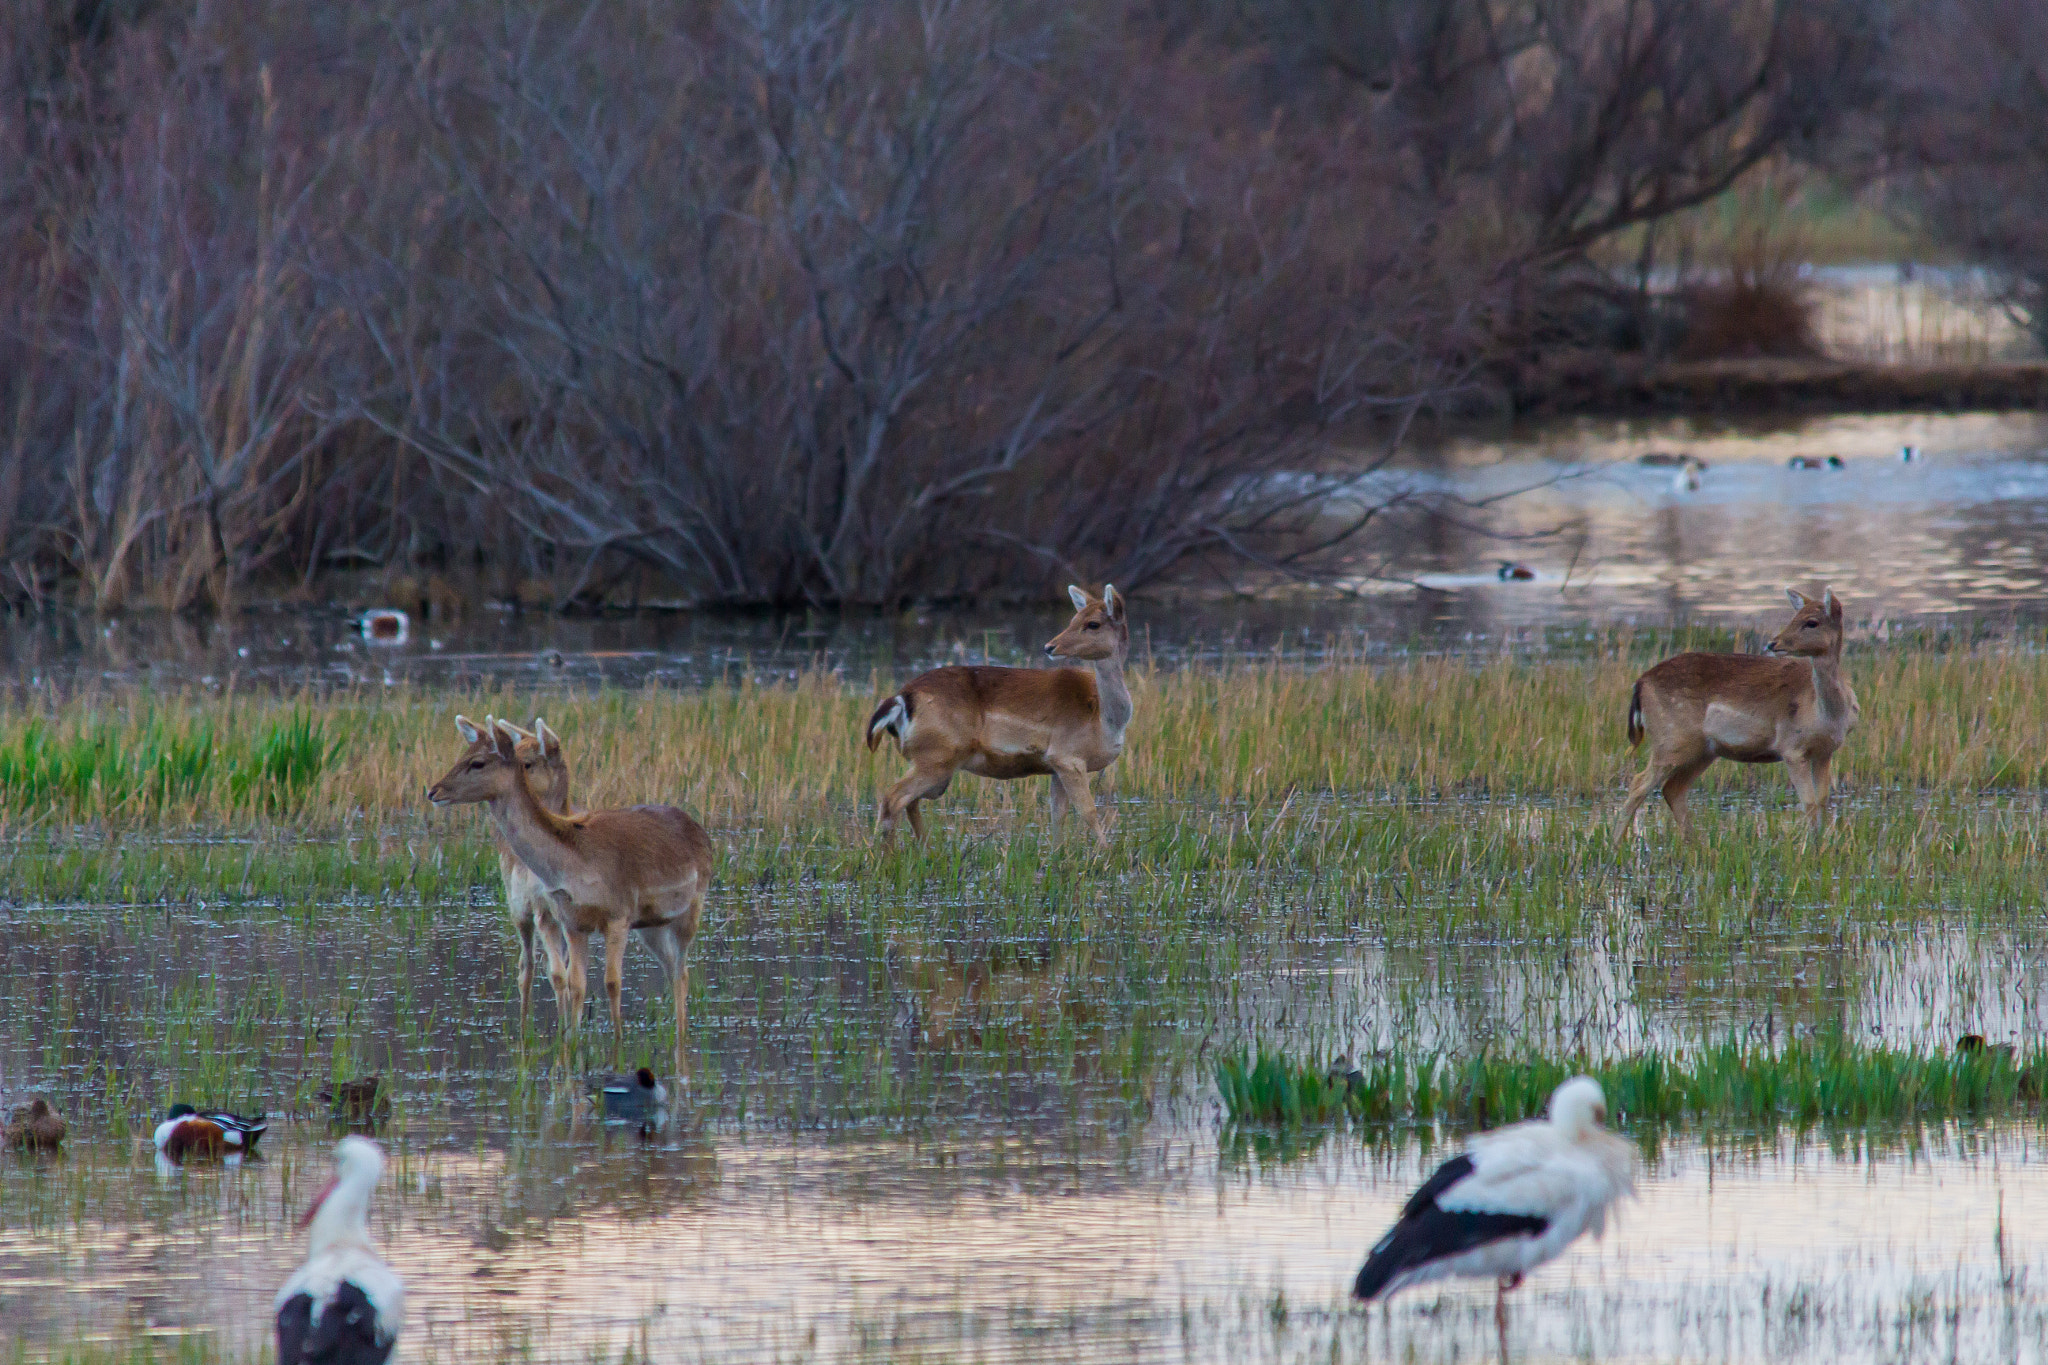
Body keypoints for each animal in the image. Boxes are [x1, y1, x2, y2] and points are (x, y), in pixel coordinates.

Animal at [427, 716, 714, 1080]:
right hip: (651, 926)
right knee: (672, 967)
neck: (572, 866)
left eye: (477, 762)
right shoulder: (571, 921)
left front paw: (618, 1045)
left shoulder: (618, 914)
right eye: (462, 753)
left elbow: (612, 982)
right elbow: (574, 982)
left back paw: (682, 1040)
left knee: (681, 972)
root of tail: (701, 832)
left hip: (691, 908)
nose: (433, 791)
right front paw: (571, 1044)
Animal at [865, 584, 1131, 845]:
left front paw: (1058, 854)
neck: (1104, 720)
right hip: (936, 757)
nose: (1049, 646)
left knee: (910, 802)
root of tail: (901, 699)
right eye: (1074, 619)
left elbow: (1058, 817)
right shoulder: (1068, 756)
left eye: (1092, 623)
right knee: (892, 799)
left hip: (932, 763)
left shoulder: (1056, 766)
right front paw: (1105, 854)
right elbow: (1088, 811)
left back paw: (925, 849)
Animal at [1617, 587, 1860, 840]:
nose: (1773, 643)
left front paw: (1822, 843)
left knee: (1673, 789)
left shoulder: (1824, 751)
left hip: (1703, 750)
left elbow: (1822, 801)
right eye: (1794, 617)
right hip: (1670, 740)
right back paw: (1617, 844)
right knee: (1638, 784)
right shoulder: (1791, 748)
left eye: (1811, 622)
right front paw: (1809, 845)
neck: (1825, 715)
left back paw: (1694, 844)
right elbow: (1809, 803)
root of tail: (1640, 683)